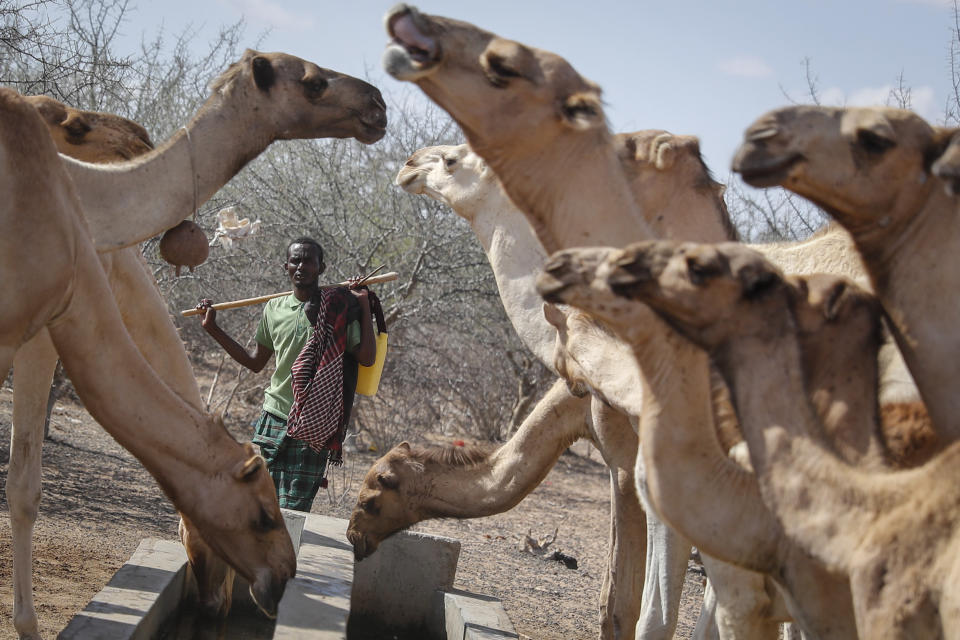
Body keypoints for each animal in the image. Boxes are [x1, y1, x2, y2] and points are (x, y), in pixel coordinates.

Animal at [0, 87, 296, 632]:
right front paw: (27, 624)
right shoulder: (44, 331)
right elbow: (25, 485)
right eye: (263, 515)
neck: (115, 270)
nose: (220, 603)